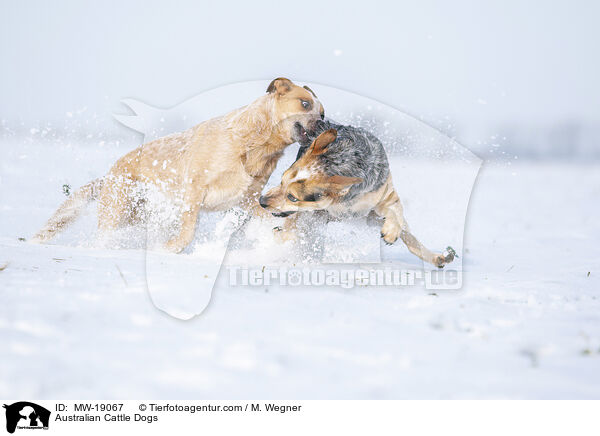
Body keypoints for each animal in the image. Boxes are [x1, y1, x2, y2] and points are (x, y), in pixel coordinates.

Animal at [32, 76, 324, 250]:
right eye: (304, 103)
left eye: (322, 112)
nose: (323, 125)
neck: (252, 145)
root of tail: (110, 173)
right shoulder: (194, 190)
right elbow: (189, 229)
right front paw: (173, 248)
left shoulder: (249, 200)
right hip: (118, 211)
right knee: (102, 236)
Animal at [258, 120, 454, 270]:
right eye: (281, 181)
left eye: (292, 197)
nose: (261, 201)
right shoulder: (312, 215)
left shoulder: (382, 195)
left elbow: (396, 212)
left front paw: (391, 232)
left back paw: (438, 256)